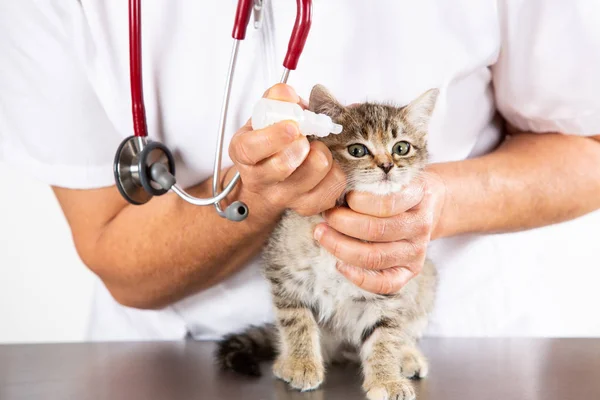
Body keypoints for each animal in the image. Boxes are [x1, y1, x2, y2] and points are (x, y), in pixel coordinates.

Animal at [217, 85, 440, 400]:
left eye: (401, 148)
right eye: (357, 150)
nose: (386, 165)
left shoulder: (388, 287)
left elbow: (385, 335)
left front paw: (386, 379)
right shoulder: (284, 275)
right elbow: (296, 321)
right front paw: (301, 364)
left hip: (426, 280)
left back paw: (406, 356)